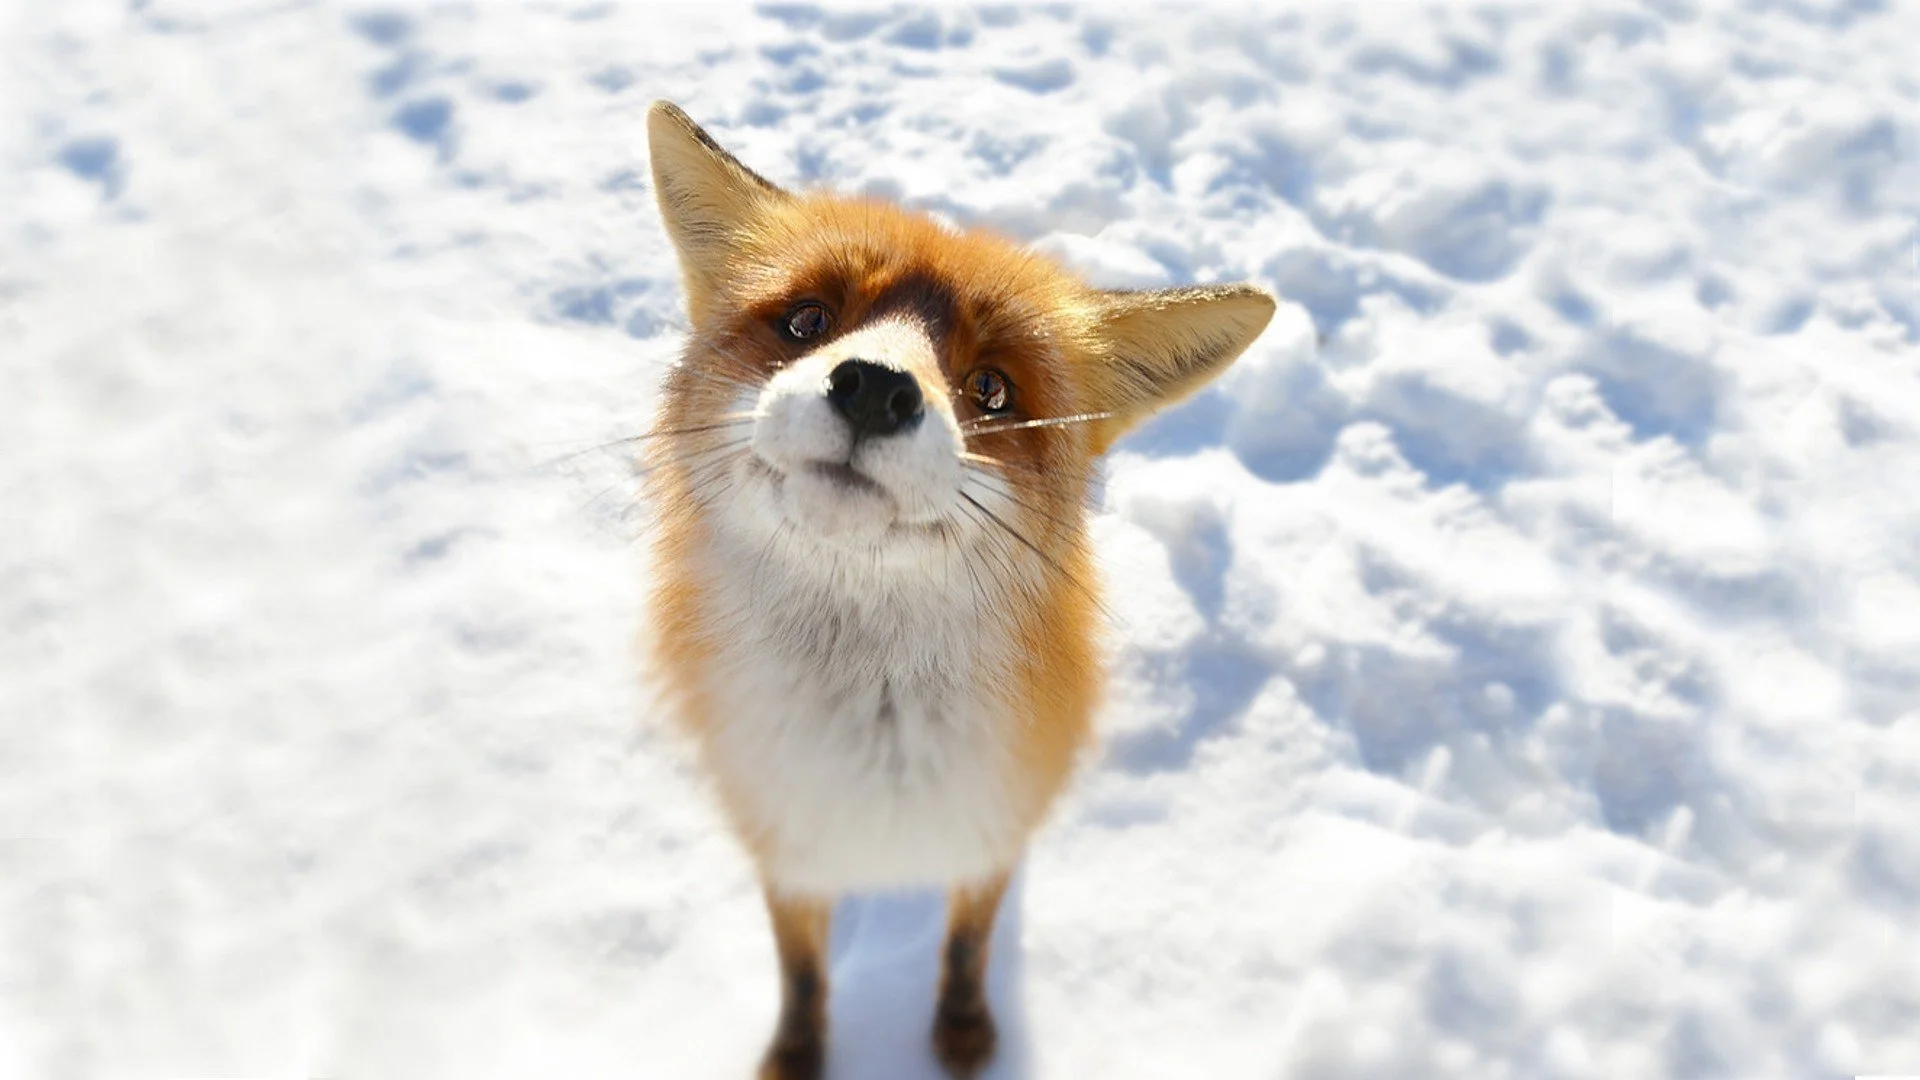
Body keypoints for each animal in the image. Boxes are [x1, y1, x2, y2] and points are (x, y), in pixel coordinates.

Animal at [641, 100, 1274, 1079]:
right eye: (807, 320)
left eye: (992, 388)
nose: (873, 389)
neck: (876, 750)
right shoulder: (783, 843)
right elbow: (803, 972)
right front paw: (797, 1055)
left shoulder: (992, 829)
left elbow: (969, 944)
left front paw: (965, 1034)